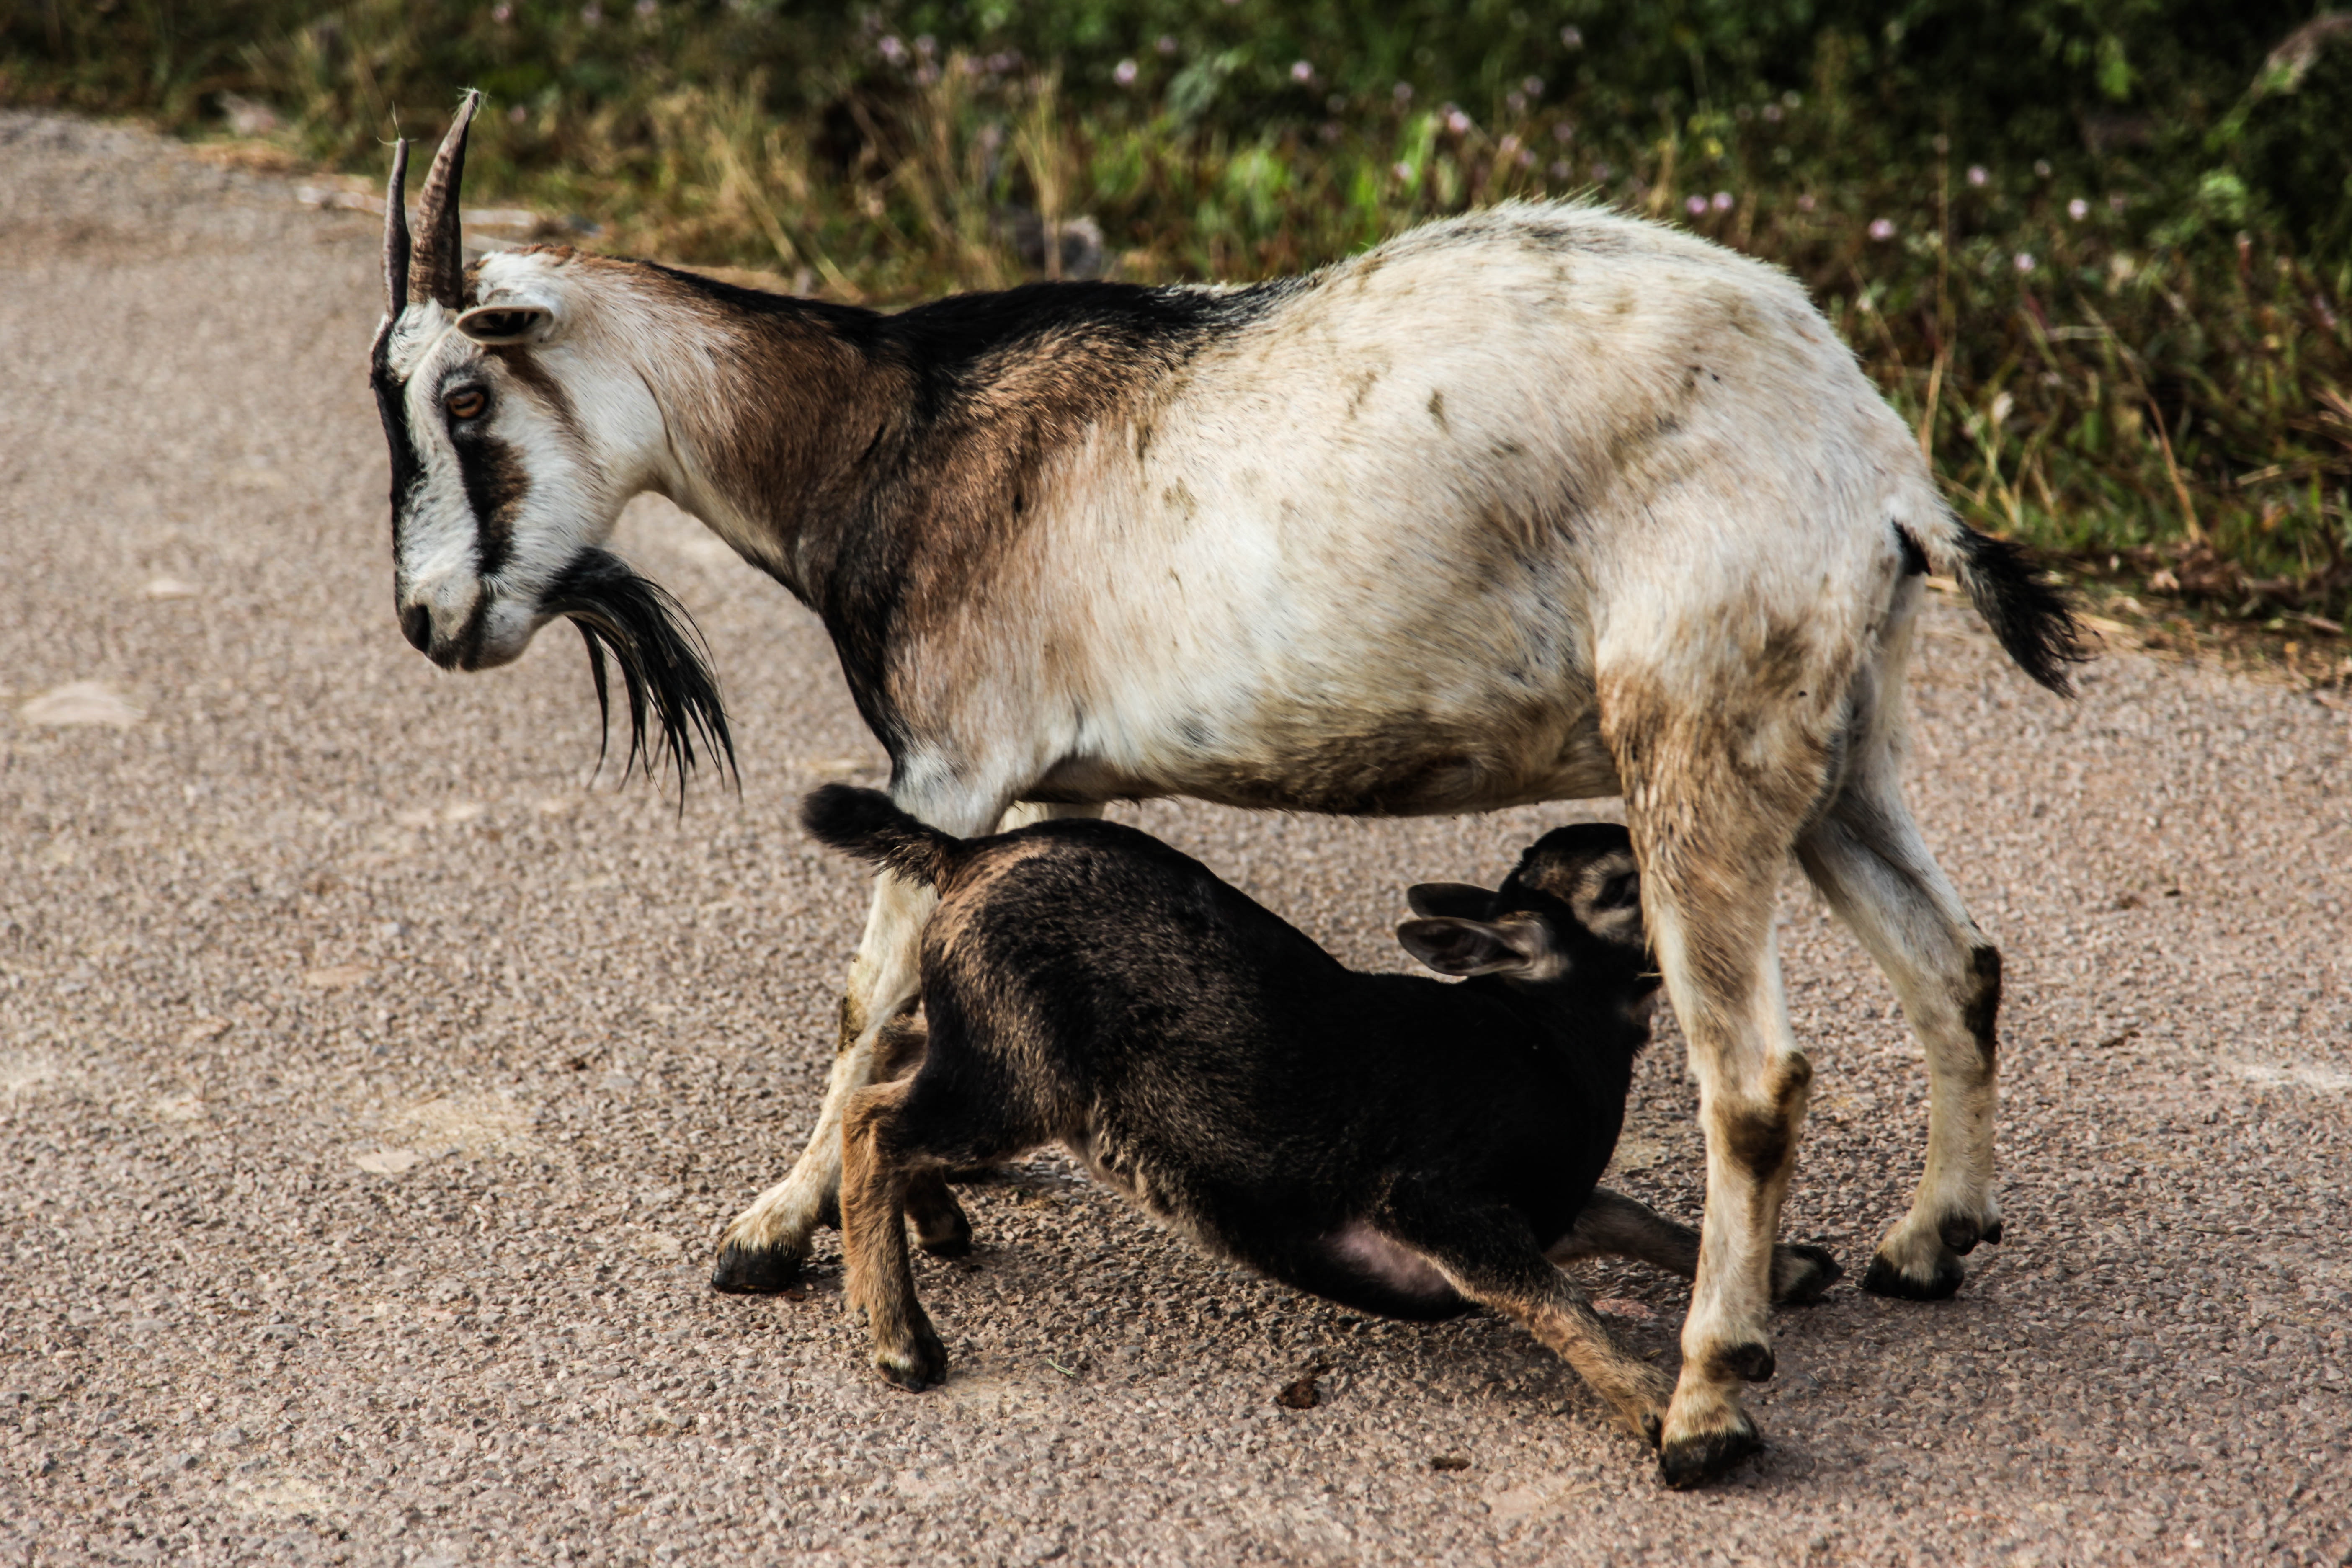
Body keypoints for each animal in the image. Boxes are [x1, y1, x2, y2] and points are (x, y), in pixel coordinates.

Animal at [376, 98, 2089, 1485]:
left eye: (464, 398)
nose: (430, 620)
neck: (890, 430)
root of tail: (1877, 470)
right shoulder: (1000, 793)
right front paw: (921, 1216)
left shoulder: (954, 759)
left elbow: (866, 1001)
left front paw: (771, 1236)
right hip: (1840, 749)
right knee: (1957, 962)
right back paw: (1927, 1245)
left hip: (1697, 742)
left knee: (1754, 1080)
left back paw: (1707, 1402)